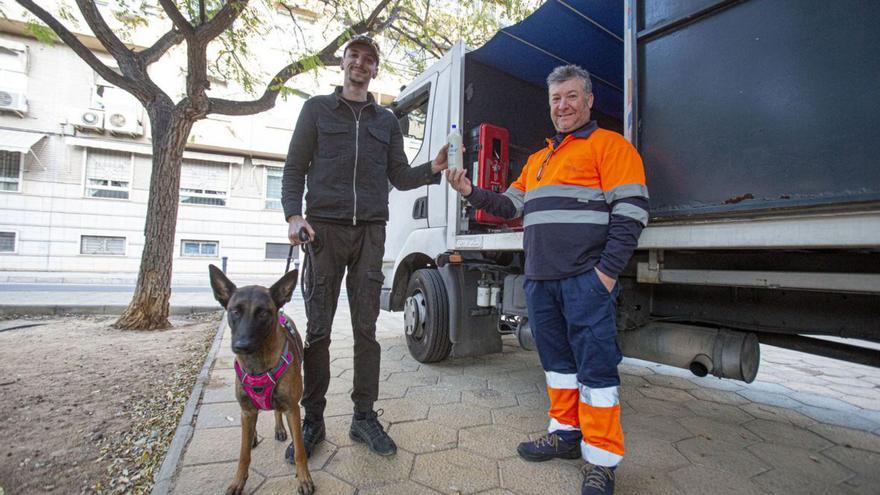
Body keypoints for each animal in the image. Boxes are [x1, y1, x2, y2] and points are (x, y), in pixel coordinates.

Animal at [208, 268, 314, 495]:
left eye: (263, 313)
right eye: (235, 311)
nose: (241, 345)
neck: (257, 365)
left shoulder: (292, 408)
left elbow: (300, 450)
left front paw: (304, 479)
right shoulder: (247, 410)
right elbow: (243, 454)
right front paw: (238, 481)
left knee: (276, 411)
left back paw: (279, 429)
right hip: (247, 409)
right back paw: (254, 435)